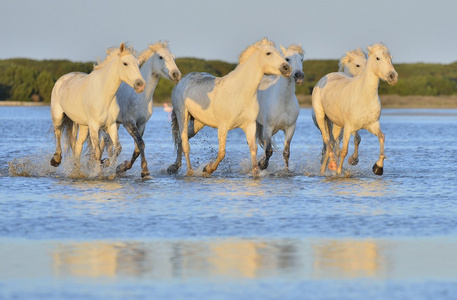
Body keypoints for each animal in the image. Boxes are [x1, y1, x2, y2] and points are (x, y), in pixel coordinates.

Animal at [49, 42, 144, 173]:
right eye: (125, 63)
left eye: (138, 64)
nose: (140, 85)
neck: (104, 95)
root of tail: (64, 78)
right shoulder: (94, 127)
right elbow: (97, 152)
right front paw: (98, 173)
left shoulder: (111, 125)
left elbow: (117, 148)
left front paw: (109, 164)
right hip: (58, 115)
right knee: (58, 132)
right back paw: (56, 160)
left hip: (83, 126)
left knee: (78, 146)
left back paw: (77, 171)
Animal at [109, 40, 181, 177]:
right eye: (161, 57)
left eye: (173, 57)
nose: (176, 75)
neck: (139, 96)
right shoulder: (129, 123)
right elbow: (141, 143)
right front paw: (145, 171)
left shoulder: (141, 124)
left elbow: (138, 147)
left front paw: (122, 167)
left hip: (114, 124)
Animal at [166, 38, 290, 177]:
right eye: (268, 53)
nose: (287, 68)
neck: (240, 92)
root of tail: (181, 81)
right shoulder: (223, 127)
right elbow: (222, 153)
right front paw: (207, 169)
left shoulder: (250, 125)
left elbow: (253, 149)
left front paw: (256, 173)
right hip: (182, 115)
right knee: (185, 143)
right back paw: (189, 171)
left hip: (198, 122)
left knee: (181, 141)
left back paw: (174, 167)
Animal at [255, 43, 304, 172]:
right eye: (287, 59)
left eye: (301, 59)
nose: (299, 76)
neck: (283, 102)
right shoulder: (268, 127)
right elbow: (269, 150)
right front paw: (262, 165)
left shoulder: (290, 129)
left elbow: (286, 152)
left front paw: (287, 171)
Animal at [312, 44, 398, 176]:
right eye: (378, 58)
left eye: (390, 58)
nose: (392, 76)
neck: (365, 96)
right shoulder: (349, 127)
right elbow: (344, 150)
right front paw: (339, 172)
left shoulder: (373, 125)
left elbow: (381, 137)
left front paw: (378, 167)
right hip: (321, 116)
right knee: (327, 140)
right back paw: (332, 164)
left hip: (337, 125)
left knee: (331, 141)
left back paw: (324, 169)